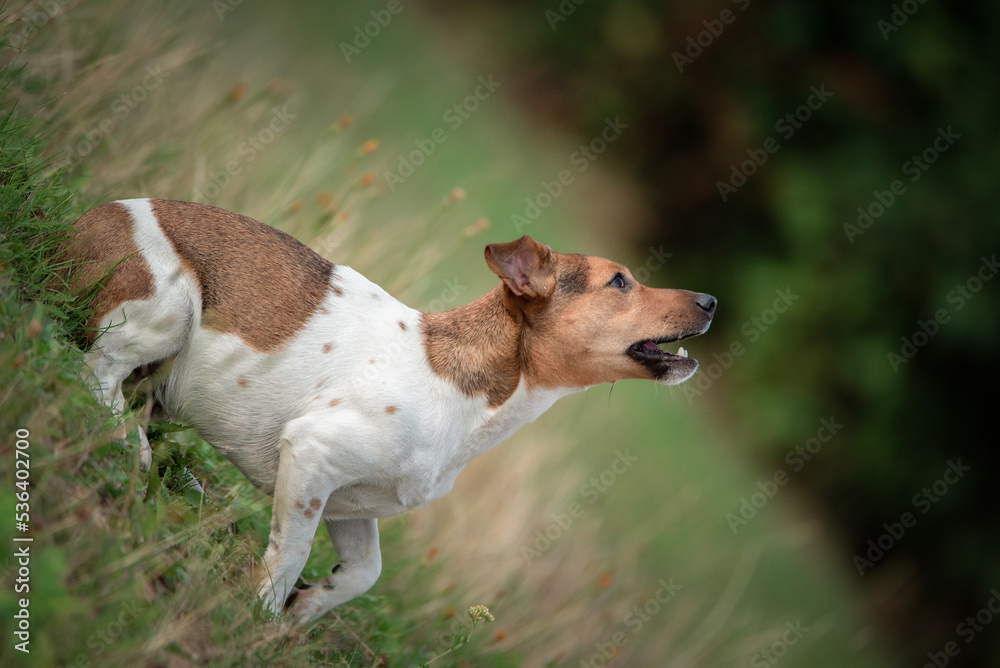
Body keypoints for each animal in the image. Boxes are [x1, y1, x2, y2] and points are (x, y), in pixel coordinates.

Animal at [68, 197, 712, 620]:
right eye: (620, 282)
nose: (710, 300)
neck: (469, 393)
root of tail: (88, 217)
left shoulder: (349, 505)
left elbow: (362, 574)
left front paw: (302, 611)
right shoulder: (313, 455)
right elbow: (290, 553)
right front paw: (260, 615)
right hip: (169, 310)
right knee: (95, 371)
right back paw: (130, 446)